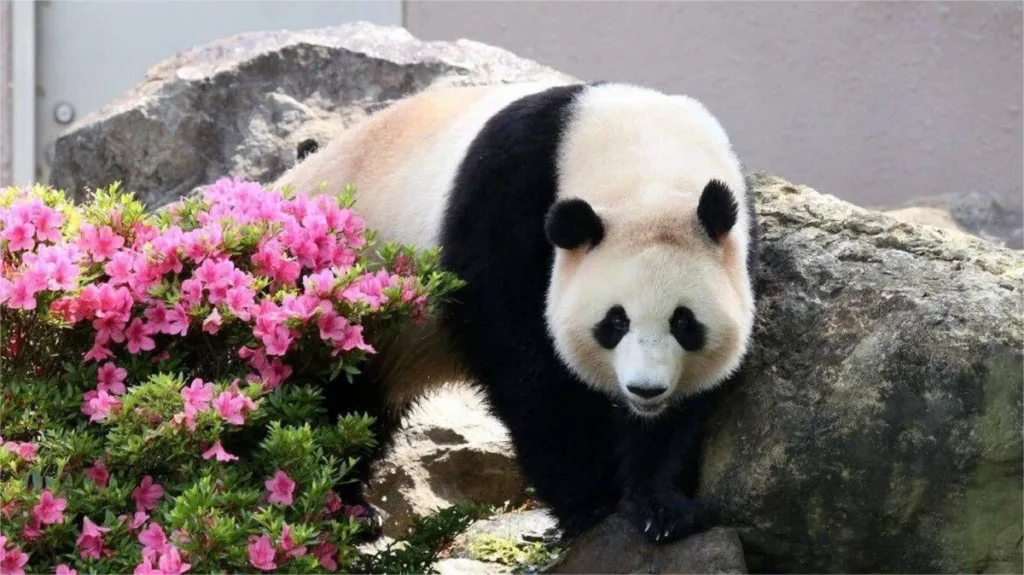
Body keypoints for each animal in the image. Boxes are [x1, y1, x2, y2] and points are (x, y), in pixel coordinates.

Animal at [272, 80, 759, 544]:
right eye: (615, 322)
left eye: (684, 323)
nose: (646, 389)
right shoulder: (504, 208)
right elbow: (527, 370)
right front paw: (589, 502)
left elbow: (682, 413)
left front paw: (661, 507)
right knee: (325, 400)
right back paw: (336, 509)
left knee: (364, 412)